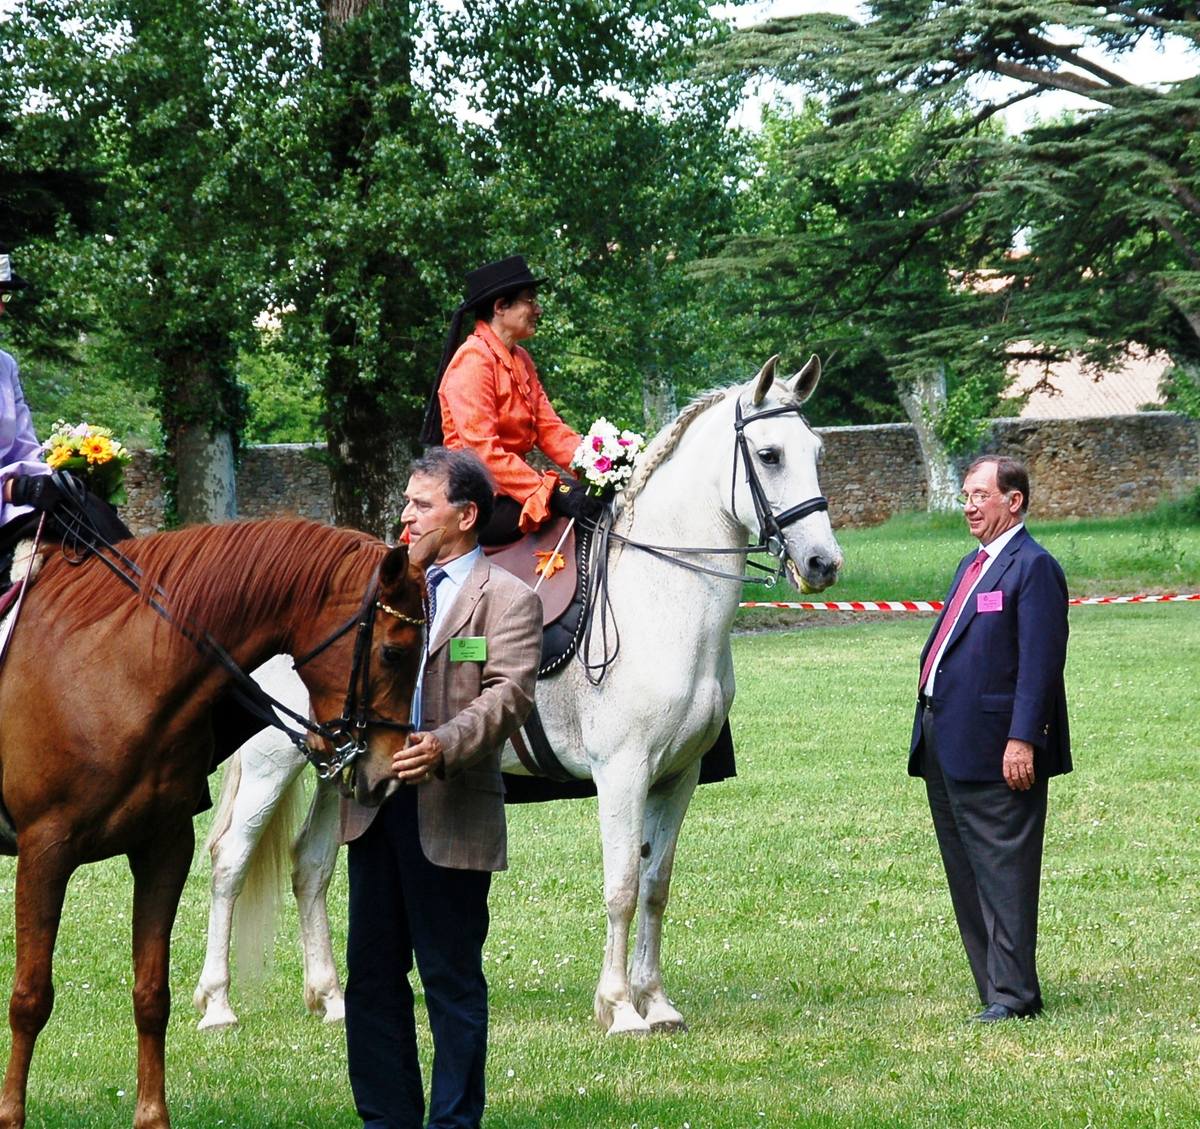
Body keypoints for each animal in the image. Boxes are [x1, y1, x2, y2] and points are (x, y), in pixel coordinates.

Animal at [0, 518, 431, 1129]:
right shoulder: (45, 853)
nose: (387, 772)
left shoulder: (163, 849)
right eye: (394, 653)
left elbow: (151, 994)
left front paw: (152, 1116)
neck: (115, 667)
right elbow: (30, 998)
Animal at [197, 354, 843, 1037]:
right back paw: (217, 1004)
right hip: (274, 763)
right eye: (769, 454)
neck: (660, 596)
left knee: (311, 866)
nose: (823, 563)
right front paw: (620, 1008)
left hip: (339, 765)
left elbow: (655, 886)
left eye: (817, 450)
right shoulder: (624, 773)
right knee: (230, 860)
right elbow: (621, 886)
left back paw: (333, 999)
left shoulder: (678, 777)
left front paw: (657, 1001)